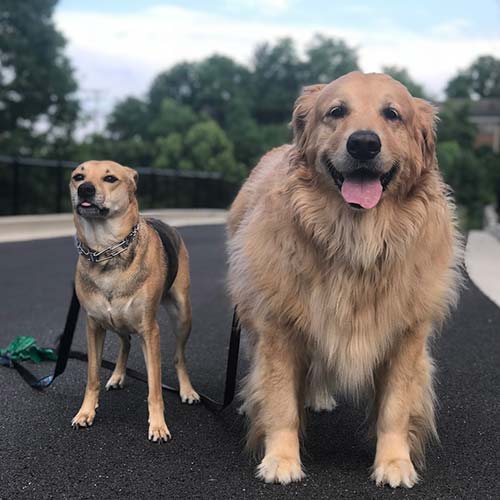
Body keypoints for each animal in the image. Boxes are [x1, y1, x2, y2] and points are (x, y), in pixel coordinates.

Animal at [70, 160, 199, 442]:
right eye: (78, 176)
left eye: (110, 178)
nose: (85, 189)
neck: (106, 250)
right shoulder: (93, 326)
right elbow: (92, 376)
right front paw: (86, 412)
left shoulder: (150, 331)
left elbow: (155, 387)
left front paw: (158, 426)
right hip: (117, 321)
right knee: (125, 343)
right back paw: (118, 375)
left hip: (182, 314)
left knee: (179, 357)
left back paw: (187, 390)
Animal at [227, 73, 460, 488]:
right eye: (336, 111)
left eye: (392, 114)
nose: (364, 144)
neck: (356, 240)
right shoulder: (279, 328)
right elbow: (280, 401)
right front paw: (281, 459)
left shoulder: (406, 336)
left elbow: (395, 408)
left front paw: (395, 463)